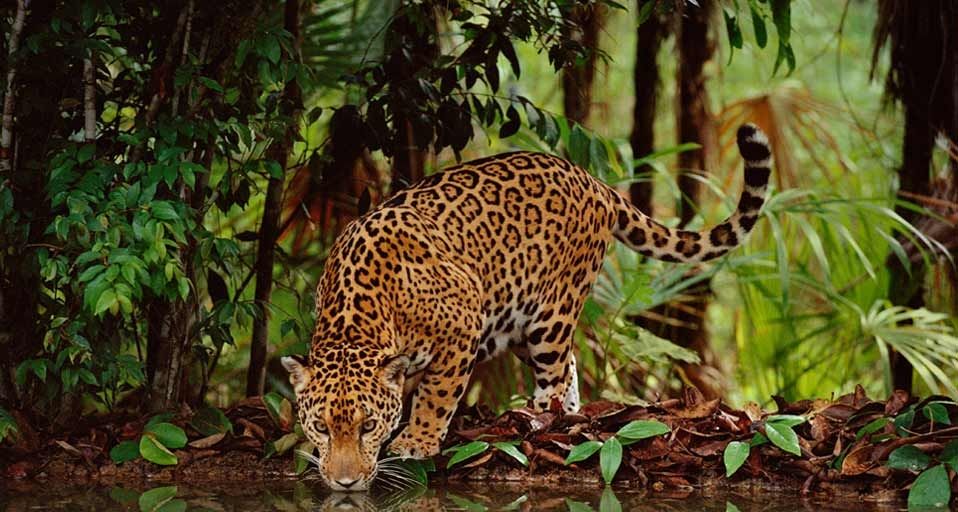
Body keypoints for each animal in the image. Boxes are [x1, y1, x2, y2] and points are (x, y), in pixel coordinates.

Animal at [282, 123, 773, 490]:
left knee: (554, 374)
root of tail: (593, 181)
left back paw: (542, 420)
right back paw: (568, 416)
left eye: (367, 426)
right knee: (569, 367)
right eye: (321, 427)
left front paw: (416, 442)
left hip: (552, 313)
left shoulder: (463, 324)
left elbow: (436, 395)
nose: (345, 483)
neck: (360, 316)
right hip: (520, 319)